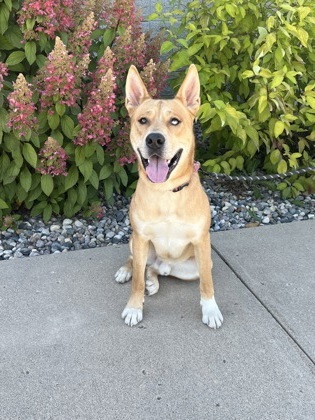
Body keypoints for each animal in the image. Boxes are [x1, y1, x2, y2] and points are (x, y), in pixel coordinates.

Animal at [115, 64, 223, 330]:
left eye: (175, 121)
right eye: (143, 120)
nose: (154, 139)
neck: (166, 193)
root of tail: (164, 263)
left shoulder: (202, 242)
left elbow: (207, 282)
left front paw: (210, 309)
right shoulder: (141, 237)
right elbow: (137, 282)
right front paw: (134, 307)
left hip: (191, 265)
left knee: (155, 270)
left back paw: (154, 279)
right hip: (137, 243)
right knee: (139, 264)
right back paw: (128, 271)